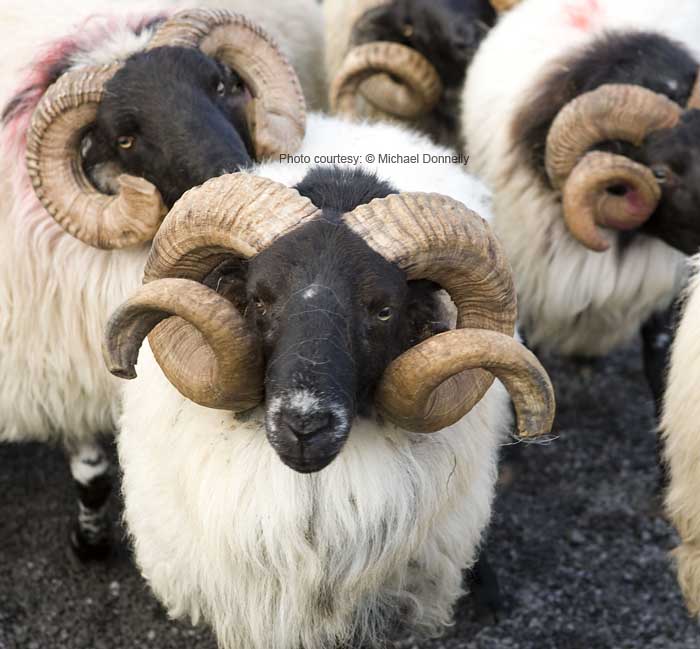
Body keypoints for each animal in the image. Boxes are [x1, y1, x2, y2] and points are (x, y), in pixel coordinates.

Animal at [0, 0, 314, 556]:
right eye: (125, 138)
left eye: (221, 86)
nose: (237, 179)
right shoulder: (55, 363)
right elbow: (91, 471)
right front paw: (89, 541)